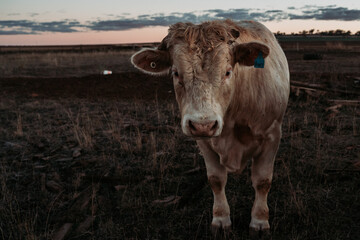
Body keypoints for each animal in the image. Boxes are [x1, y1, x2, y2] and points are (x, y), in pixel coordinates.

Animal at [129, 19, 290, 238]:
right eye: (176, 73)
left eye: (227, 72)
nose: (203, 124)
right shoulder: (204, 142)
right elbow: (216, 180)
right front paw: (221, 219)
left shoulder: (272, 135)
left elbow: (262, 181)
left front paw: (259, 221)